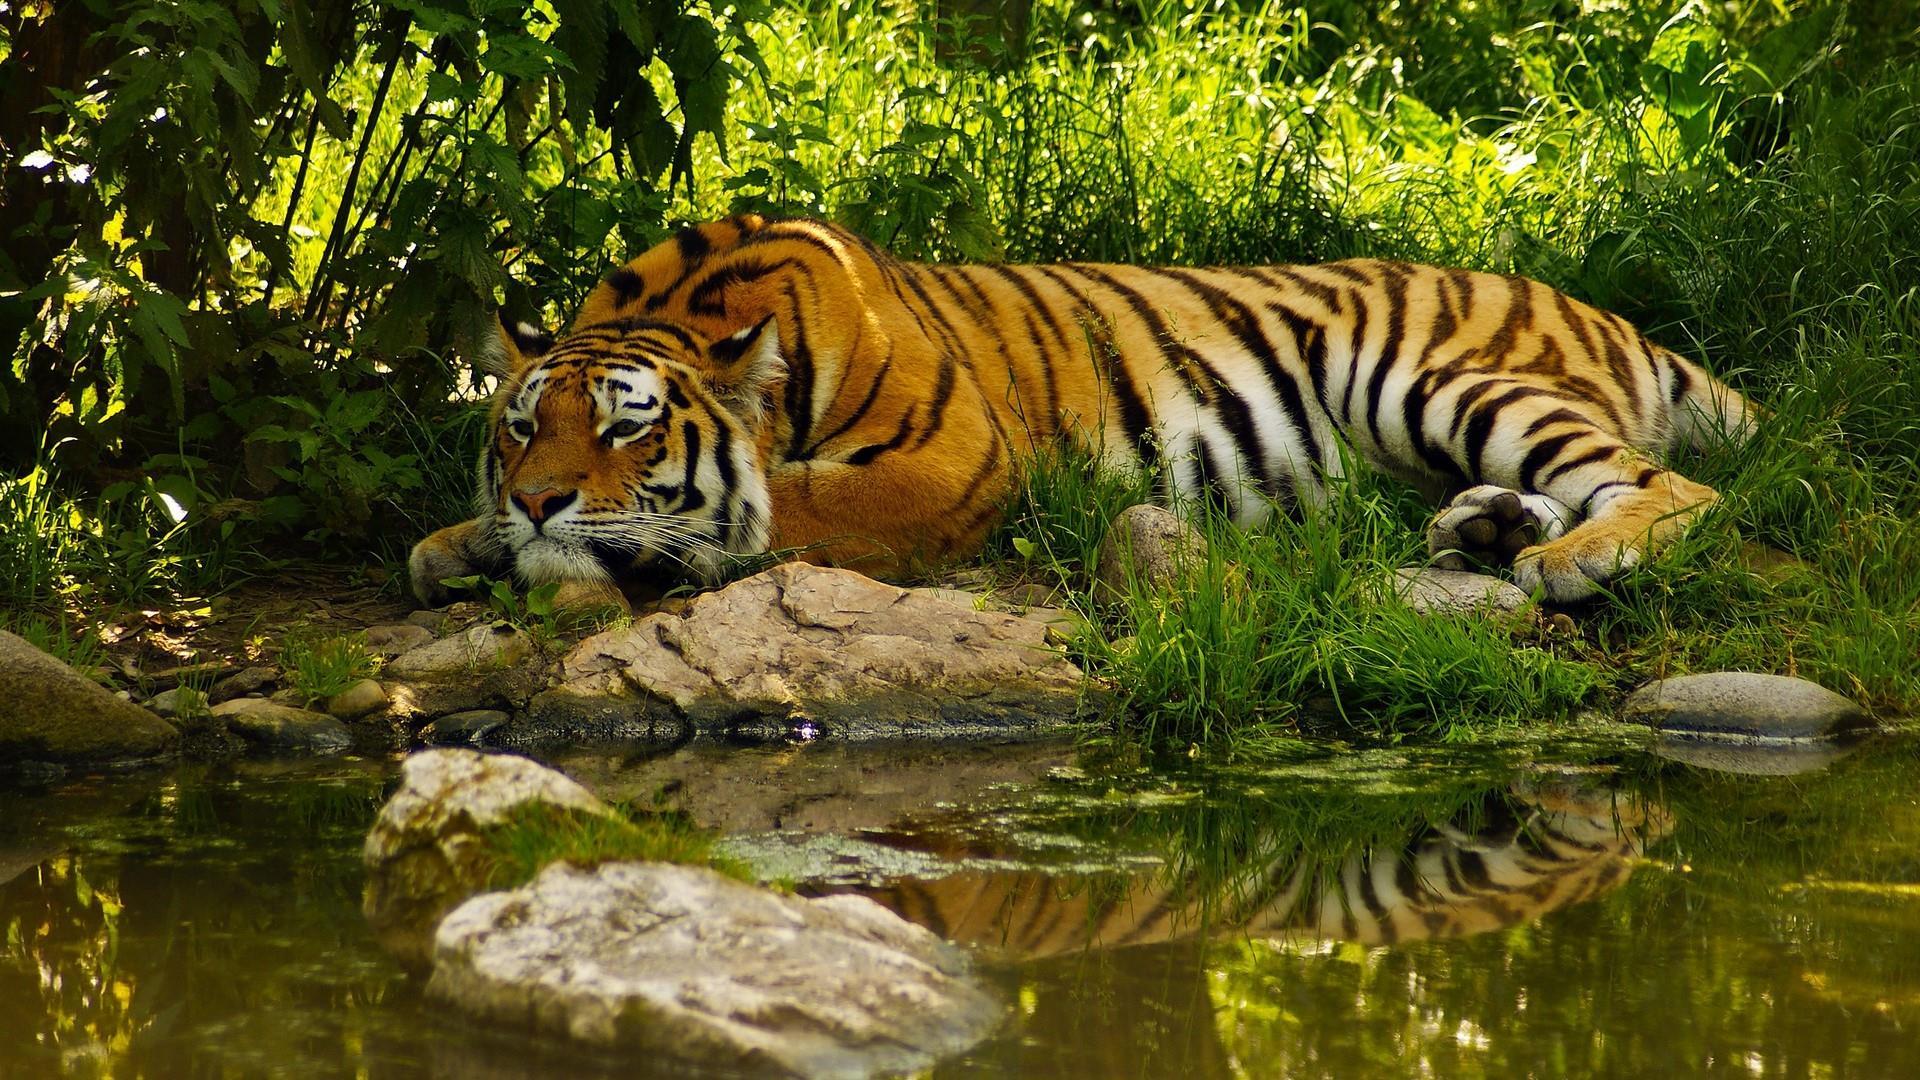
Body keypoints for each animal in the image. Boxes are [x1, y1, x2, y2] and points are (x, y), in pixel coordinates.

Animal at [408, 213, 1755, 610]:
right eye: (521, 426)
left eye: (628, 428)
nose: (539, 501)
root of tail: (1599, 310)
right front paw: (459, 541)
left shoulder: (951, 461)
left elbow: (783, 507)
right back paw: (1486, 531)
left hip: (1434, 376)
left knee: (1674, 487)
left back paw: (1571, 561)